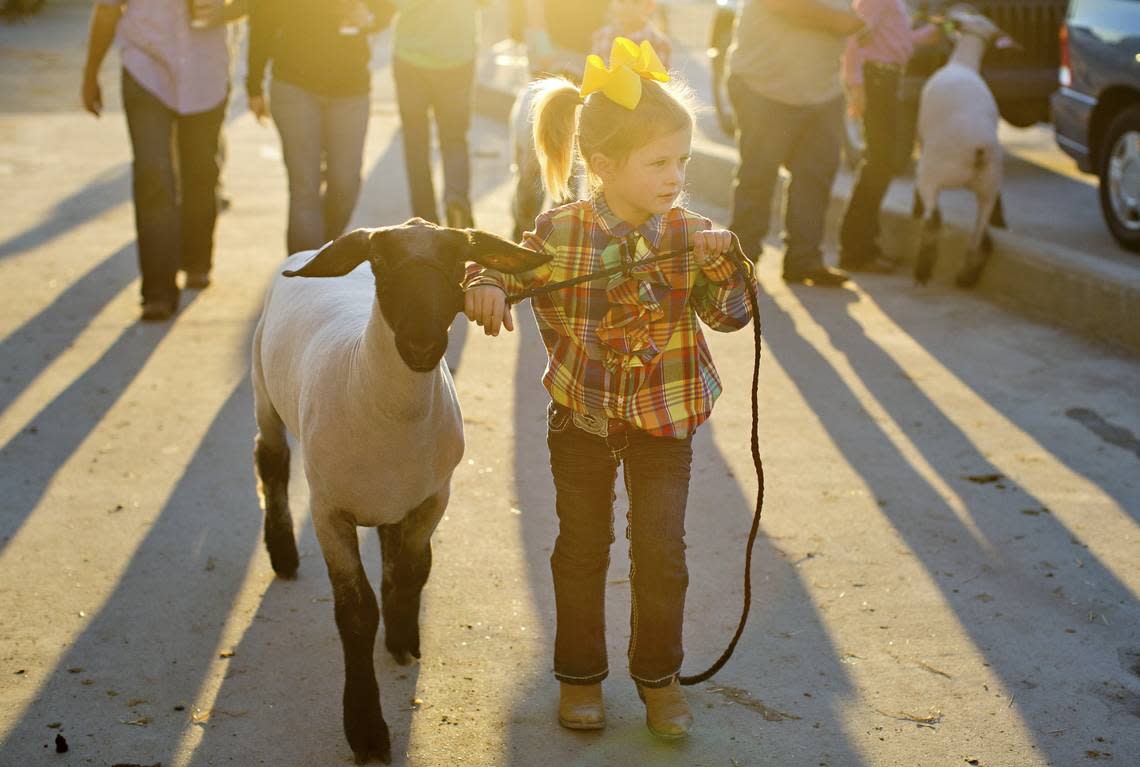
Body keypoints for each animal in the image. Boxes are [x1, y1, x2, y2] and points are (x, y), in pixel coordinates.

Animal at [251, 218, 544, 761]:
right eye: (381, 261)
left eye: (458, 259)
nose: (422, 343)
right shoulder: (329, 512)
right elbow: (356, 612)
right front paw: (366, 729)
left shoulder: (434, 497)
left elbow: (412, 572)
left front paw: (404, 635)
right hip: (264, 391)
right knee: (271, 461)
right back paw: (282, 551)